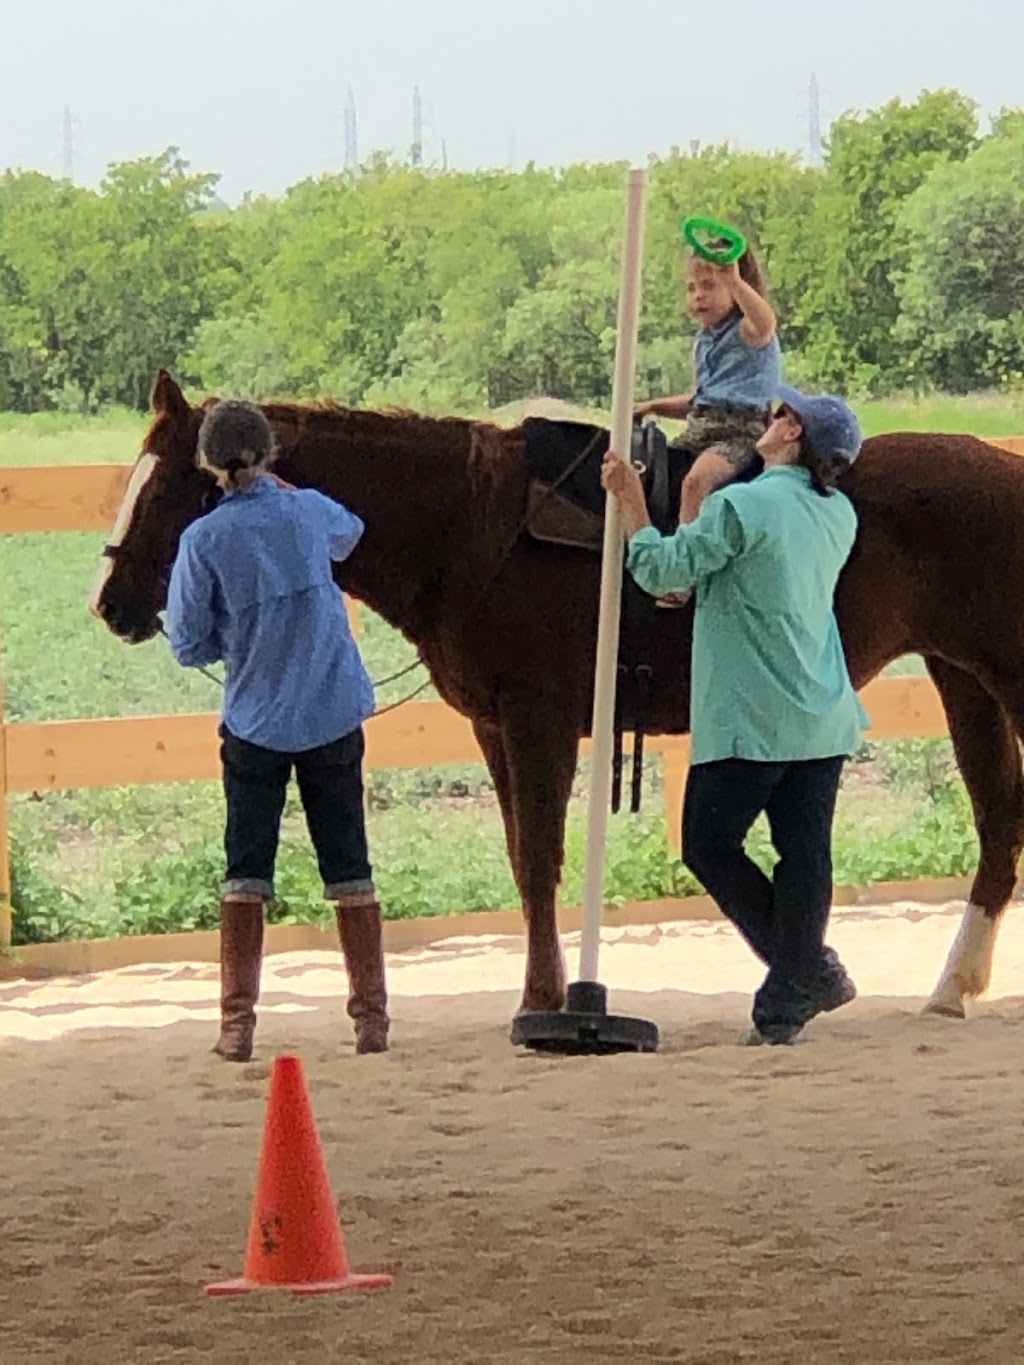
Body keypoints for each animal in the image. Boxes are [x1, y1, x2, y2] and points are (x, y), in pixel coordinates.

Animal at [90, 374, 1024, 1026]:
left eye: (168, 488)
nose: (111, 604)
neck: (471, 526)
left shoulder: (536, 721)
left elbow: (540, 858)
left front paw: (541, 998)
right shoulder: (495, 728)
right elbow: (520, 857)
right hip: (964, 682)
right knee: (997, 825)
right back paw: (951, 986)